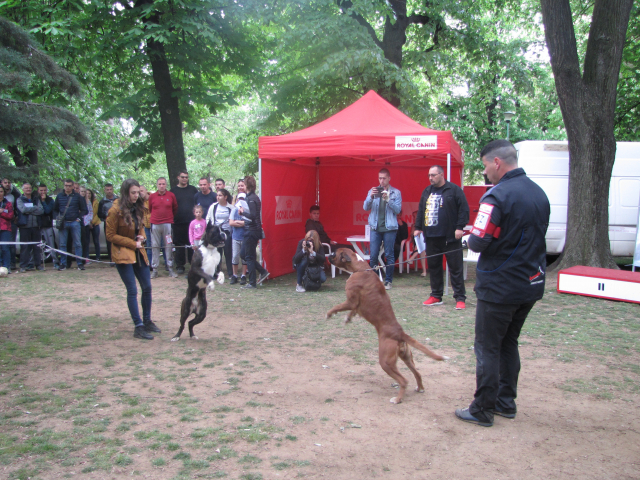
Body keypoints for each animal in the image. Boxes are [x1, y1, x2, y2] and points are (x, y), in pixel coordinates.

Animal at [328, 249, 448, 404]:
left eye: (335, 253)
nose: (328, 255)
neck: (360, 268)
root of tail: (400, 333)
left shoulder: (350, 301)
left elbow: (337, 307)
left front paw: (330, 314)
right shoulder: (355, 305)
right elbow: (352, 311)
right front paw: (348, 318)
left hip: (386, 362)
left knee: (403, 380)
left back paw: (397, 399)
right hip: (407, 358)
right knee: (417, 373)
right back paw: (420, 388)